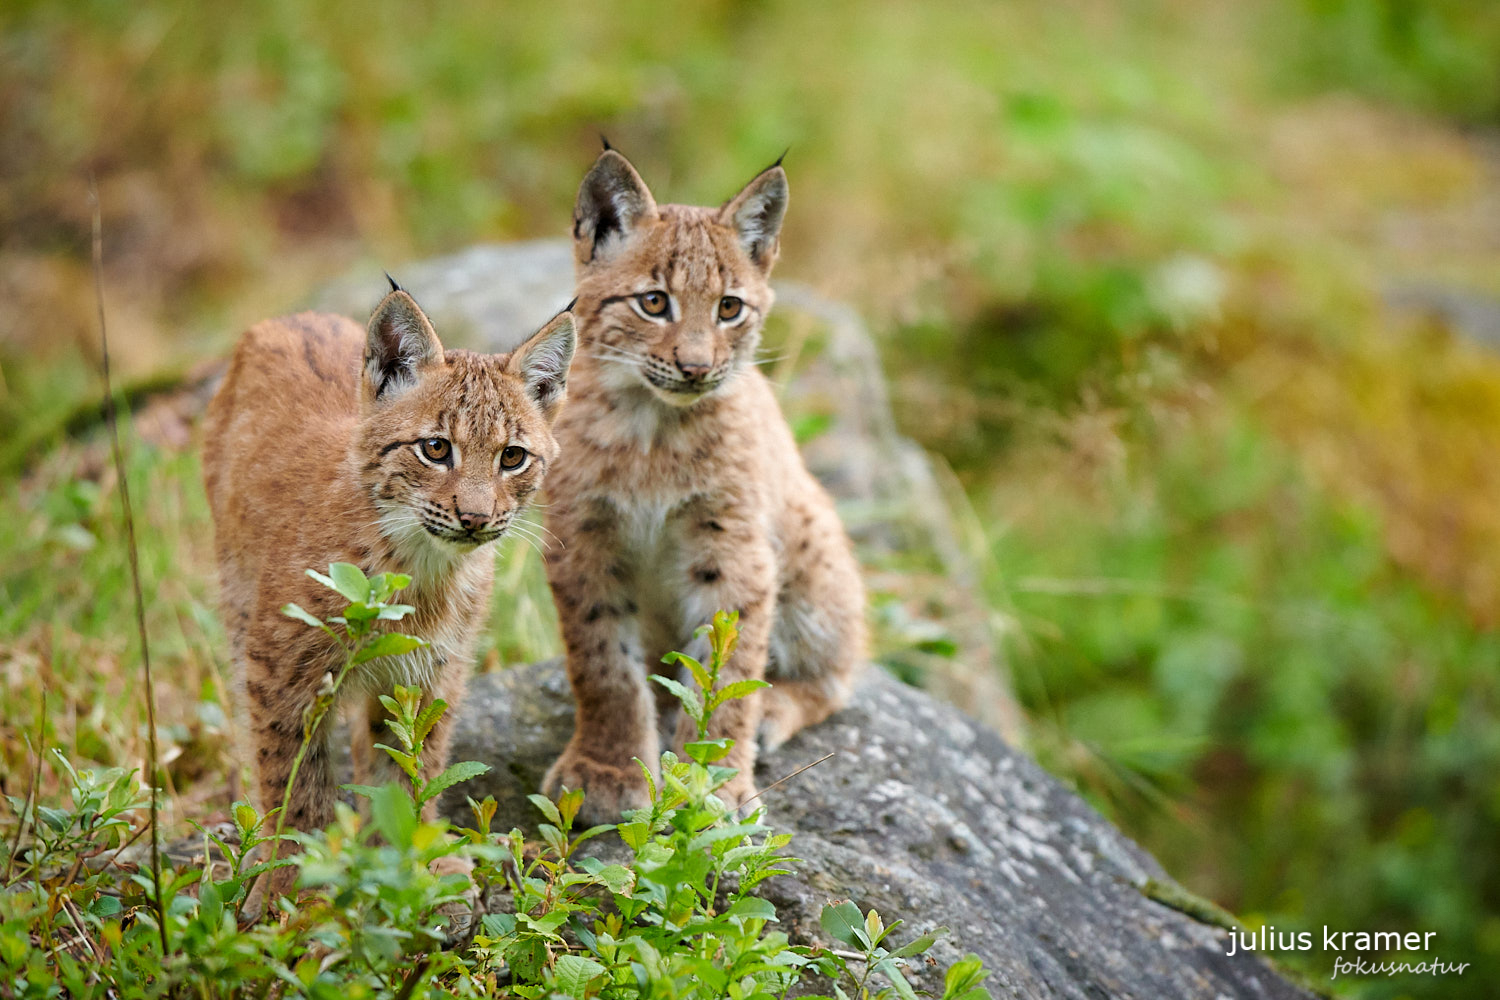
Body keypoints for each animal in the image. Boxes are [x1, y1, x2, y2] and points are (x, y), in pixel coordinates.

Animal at [201, 284, 573, 905]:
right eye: (435, 449)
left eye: (512, 457)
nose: (475, 519)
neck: (418, 565)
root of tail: (292, 315)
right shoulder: (278, 668)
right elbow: (291, 778)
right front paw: (290, 887)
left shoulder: (432, 670)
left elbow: (413, 762)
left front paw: (411, 859)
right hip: (236, 603)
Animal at [543, 150, 870, 821]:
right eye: (653, 303)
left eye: (729, 309)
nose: (696, 368)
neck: (651, 425)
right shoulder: (581, 539)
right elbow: (603, 666)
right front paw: (607, 770)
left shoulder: (733, 545)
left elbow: (729, 674)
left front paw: (711, 786)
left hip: (812, 550)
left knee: (839, 677)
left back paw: (775, 708)